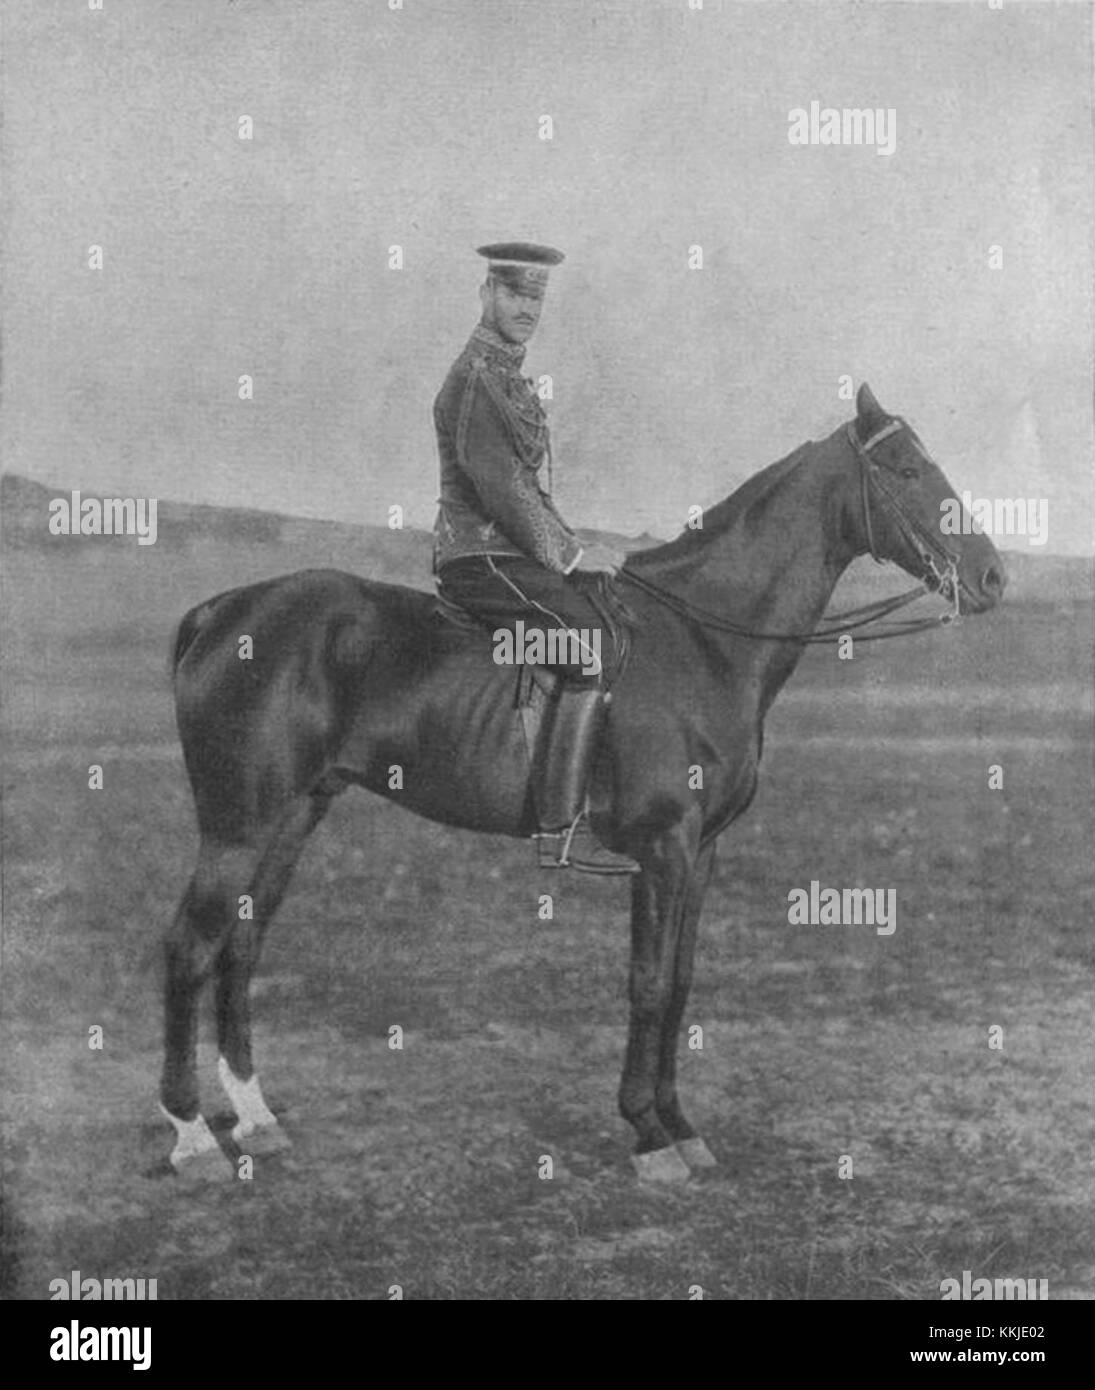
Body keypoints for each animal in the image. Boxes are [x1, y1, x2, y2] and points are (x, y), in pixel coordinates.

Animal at [162, 383, 1011, 1184]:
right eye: (906, 470)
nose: (993, 576)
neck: (702, 641)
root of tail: (222, 612)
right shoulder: (663, 847)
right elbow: (648, 984)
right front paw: (647, 1134)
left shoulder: (701, 853)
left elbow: (680, 983)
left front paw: (681, 1126)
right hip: (238, 826)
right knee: (189, 947)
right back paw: (192, 1134)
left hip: (296, 814)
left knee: (242, 944)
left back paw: (254, 1117)